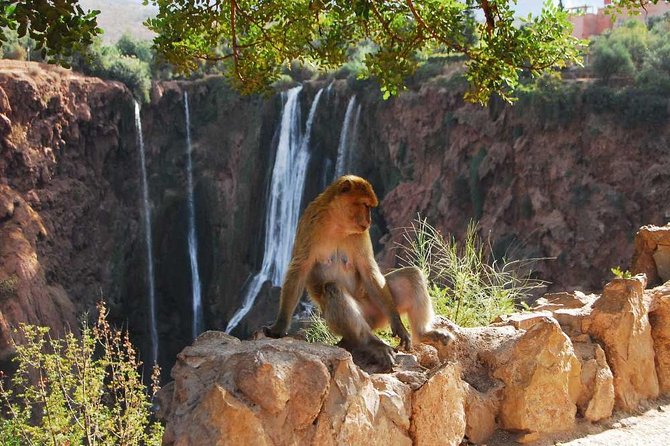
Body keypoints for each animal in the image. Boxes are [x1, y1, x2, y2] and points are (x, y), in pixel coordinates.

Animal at [262, 174, 452, 370]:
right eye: (365, 205)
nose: (369, 220)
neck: (337, 224)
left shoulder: (361, 235)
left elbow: (368, 270)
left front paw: (398, 325)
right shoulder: (309, 224)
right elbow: (300, 268)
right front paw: (279, 326)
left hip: (376, 306)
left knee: (411, 275)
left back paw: (422, 333)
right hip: (344, 321)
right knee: (334, 289)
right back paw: (372, 343)